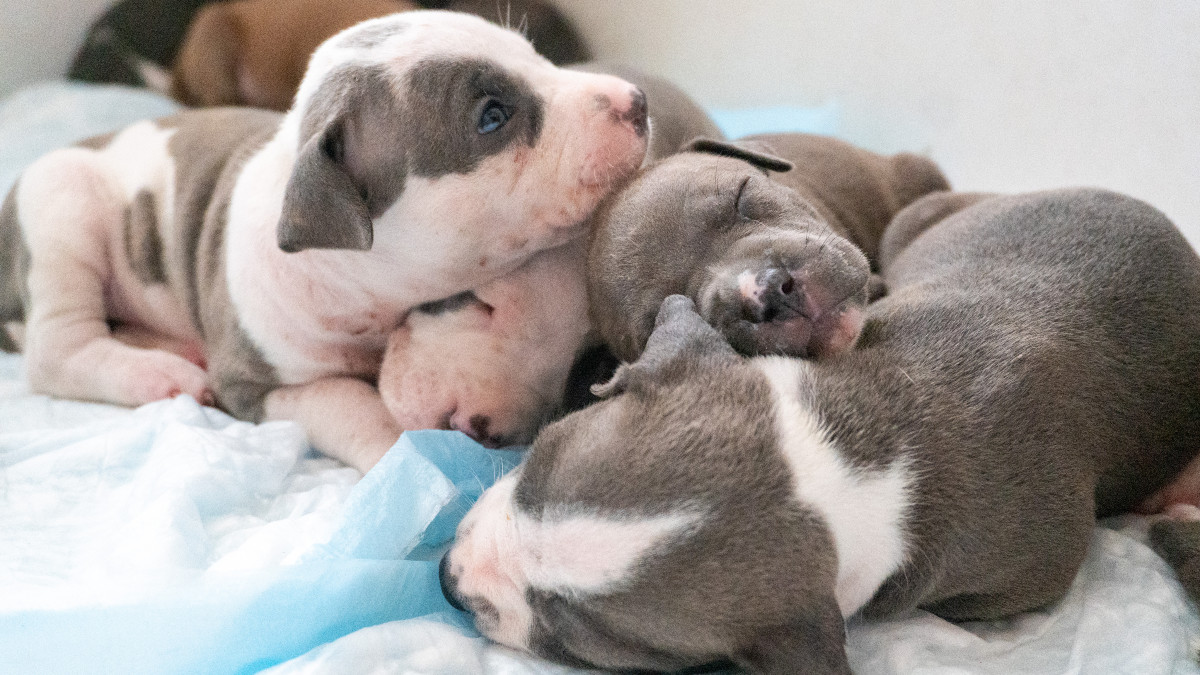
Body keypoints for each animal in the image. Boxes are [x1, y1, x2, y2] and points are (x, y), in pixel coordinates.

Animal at [0, 11, 652, 473]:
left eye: (540, 58)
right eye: (492, 116)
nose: (637, 102)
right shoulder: (252, 385)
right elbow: (345, 403)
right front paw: (401, 458)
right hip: (61, 207)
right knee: (55, 349)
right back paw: (155, 374)